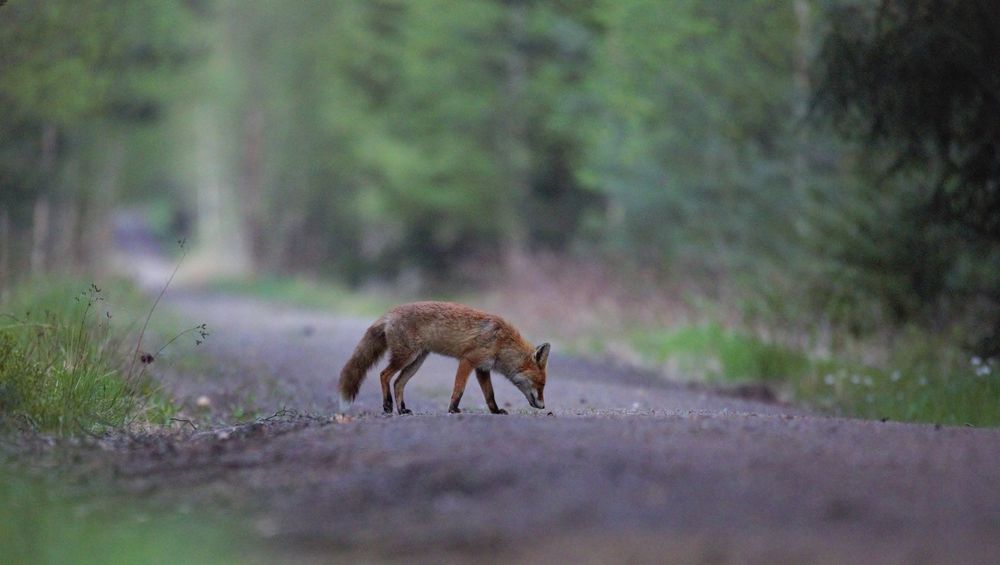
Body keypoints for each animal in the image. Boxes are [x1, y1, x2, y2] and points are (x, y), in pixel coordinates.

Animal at [340, 300, 552, 414]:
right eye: (541, 385)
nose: (543, 407)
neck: (501, 343)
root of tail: (390, 312)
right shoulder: (467, 360)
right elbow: (459, 389)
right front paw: (453, 409)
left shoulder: (482, 369)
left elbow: (489, 395)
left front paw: (495, 411)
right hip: (405, 357)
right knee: (384, 375)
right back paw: (387, 404)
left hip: (416, 361)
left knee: (398, 383)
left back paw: (402, 409)